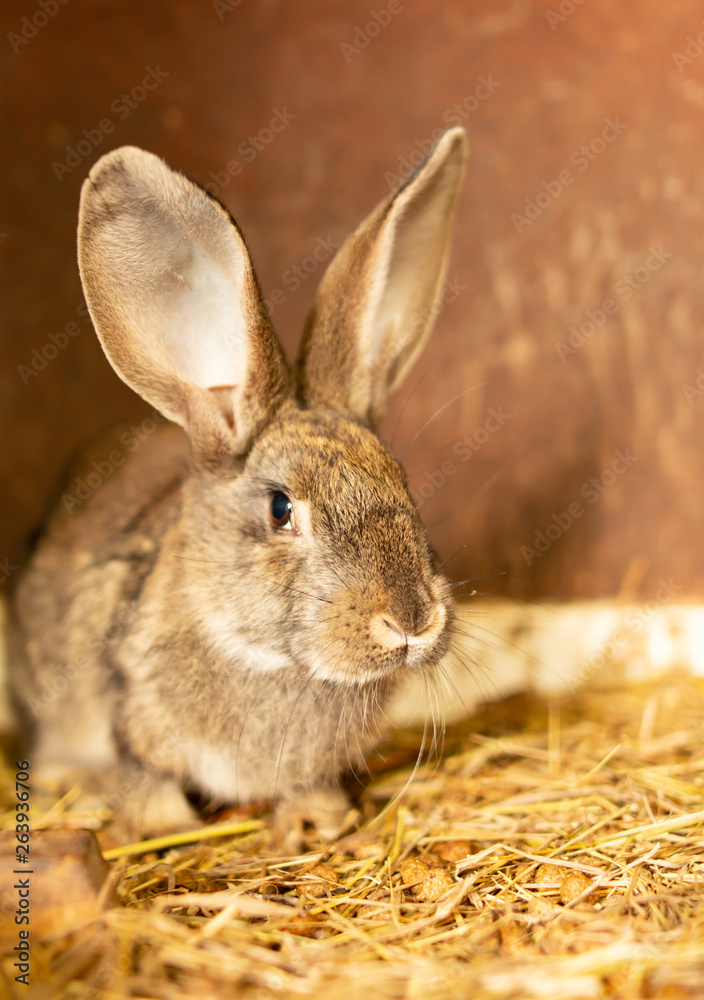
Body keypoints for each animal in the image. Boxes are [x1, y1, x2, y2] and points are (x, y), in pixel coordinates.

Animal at [9, 126, 467, 845]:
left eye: (403, 482)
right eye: (281, 508)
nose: (412, 620)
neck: (261, 655)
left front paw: (315, 820)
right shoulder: (129, 714)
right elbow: (144, 774)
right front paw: (157, 824)